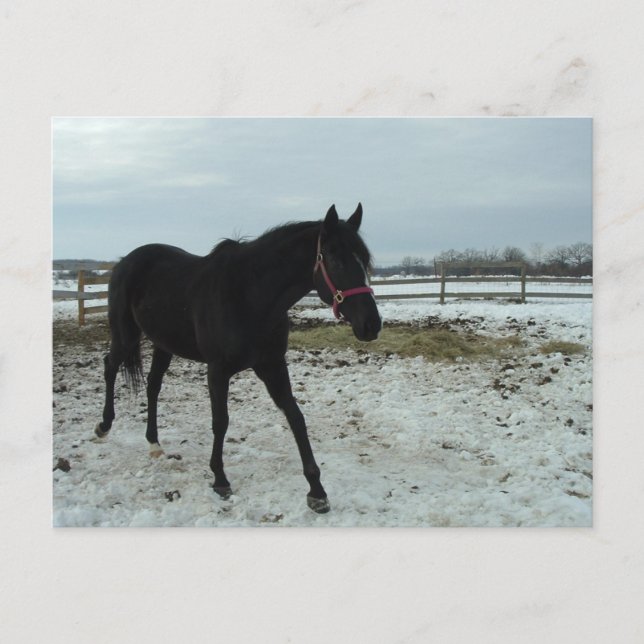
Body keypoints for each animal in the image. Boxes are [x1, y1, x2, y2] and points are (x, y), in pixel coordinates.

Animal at [95, 204, 382, 513]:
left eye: (364, 261)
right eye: (336, 260)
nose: (371, 325)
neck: (249, 296)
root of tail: (125, 262)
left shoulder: (272, 365)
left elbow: (295, 416)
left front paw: (316, 490)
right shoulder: (218, 370)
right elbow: (221, 421)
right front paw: (220, 479)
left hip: (164, 344)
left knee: (153, 385)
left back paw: (154, 444)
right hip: (125, 335)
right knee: (110, 366)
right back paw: (104, 426)